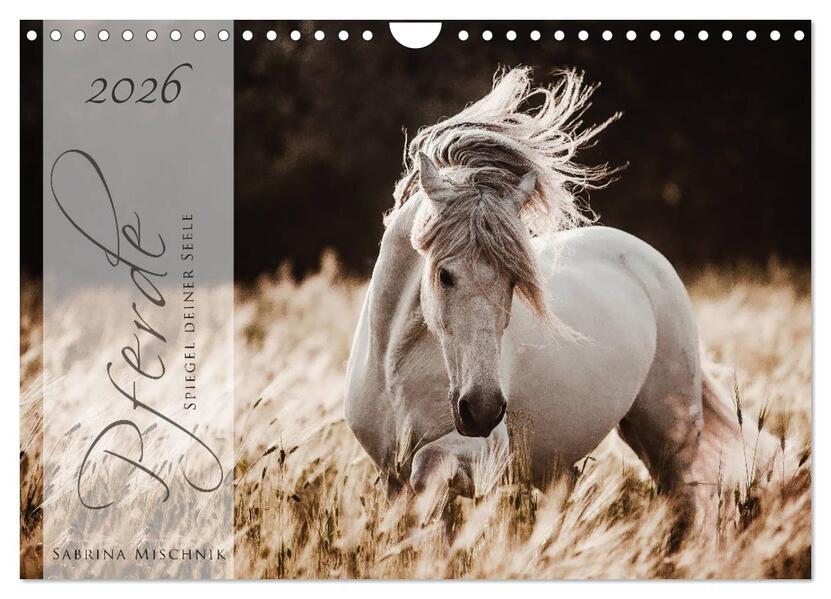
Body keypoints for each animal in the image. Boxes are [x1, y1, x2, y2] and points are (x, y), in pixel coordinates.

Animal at [344, 67, 778, 515]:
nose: (482, 410)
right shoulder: (389, 478)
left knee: (690, 498)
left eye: (514, 281)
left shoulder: (480, 454)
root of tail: (646, 258)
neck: (396, 365)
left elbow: (426, 468)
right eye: (444, 275)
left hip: (670, 432)